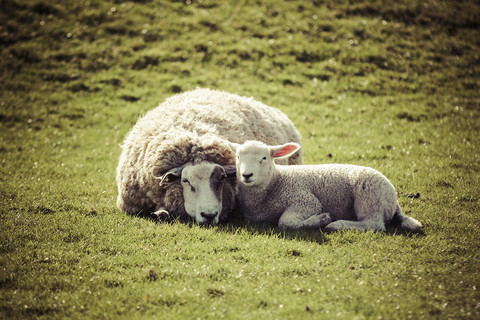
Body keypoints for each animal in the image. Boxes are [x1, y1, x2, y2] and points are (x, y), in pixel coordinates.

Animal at [231, 141, 422, 231]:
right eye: (238, 157)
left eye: (264, 158)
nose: (246, 175)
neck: (276, 181)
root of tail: (394, 198)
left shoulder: (305, 200)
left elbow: (285, 222)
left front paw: (320, 219)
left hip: (370, 196)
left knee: (374, 223)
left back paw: (336, 225)